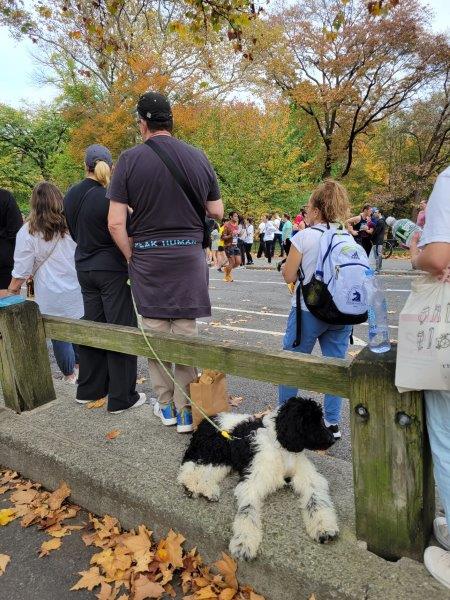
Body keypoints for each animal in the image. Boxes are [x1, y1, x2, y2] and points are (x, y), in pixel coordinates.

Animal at [178, 396, 340, 560]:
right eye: (311, 421)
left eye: (320, 419)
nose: (332, 439)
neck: (280, 447)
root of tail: (207, 421)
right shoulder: (253, 482)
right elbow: (247, 511)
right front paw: (244, 542)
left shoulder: (309, 477)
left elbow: (316, 500)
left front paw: (324, 527)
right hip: (213, 451)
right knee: (190, 469)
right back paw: (192, 486)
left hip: (224, 460)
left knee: (206, 473)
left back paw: (207, 490)